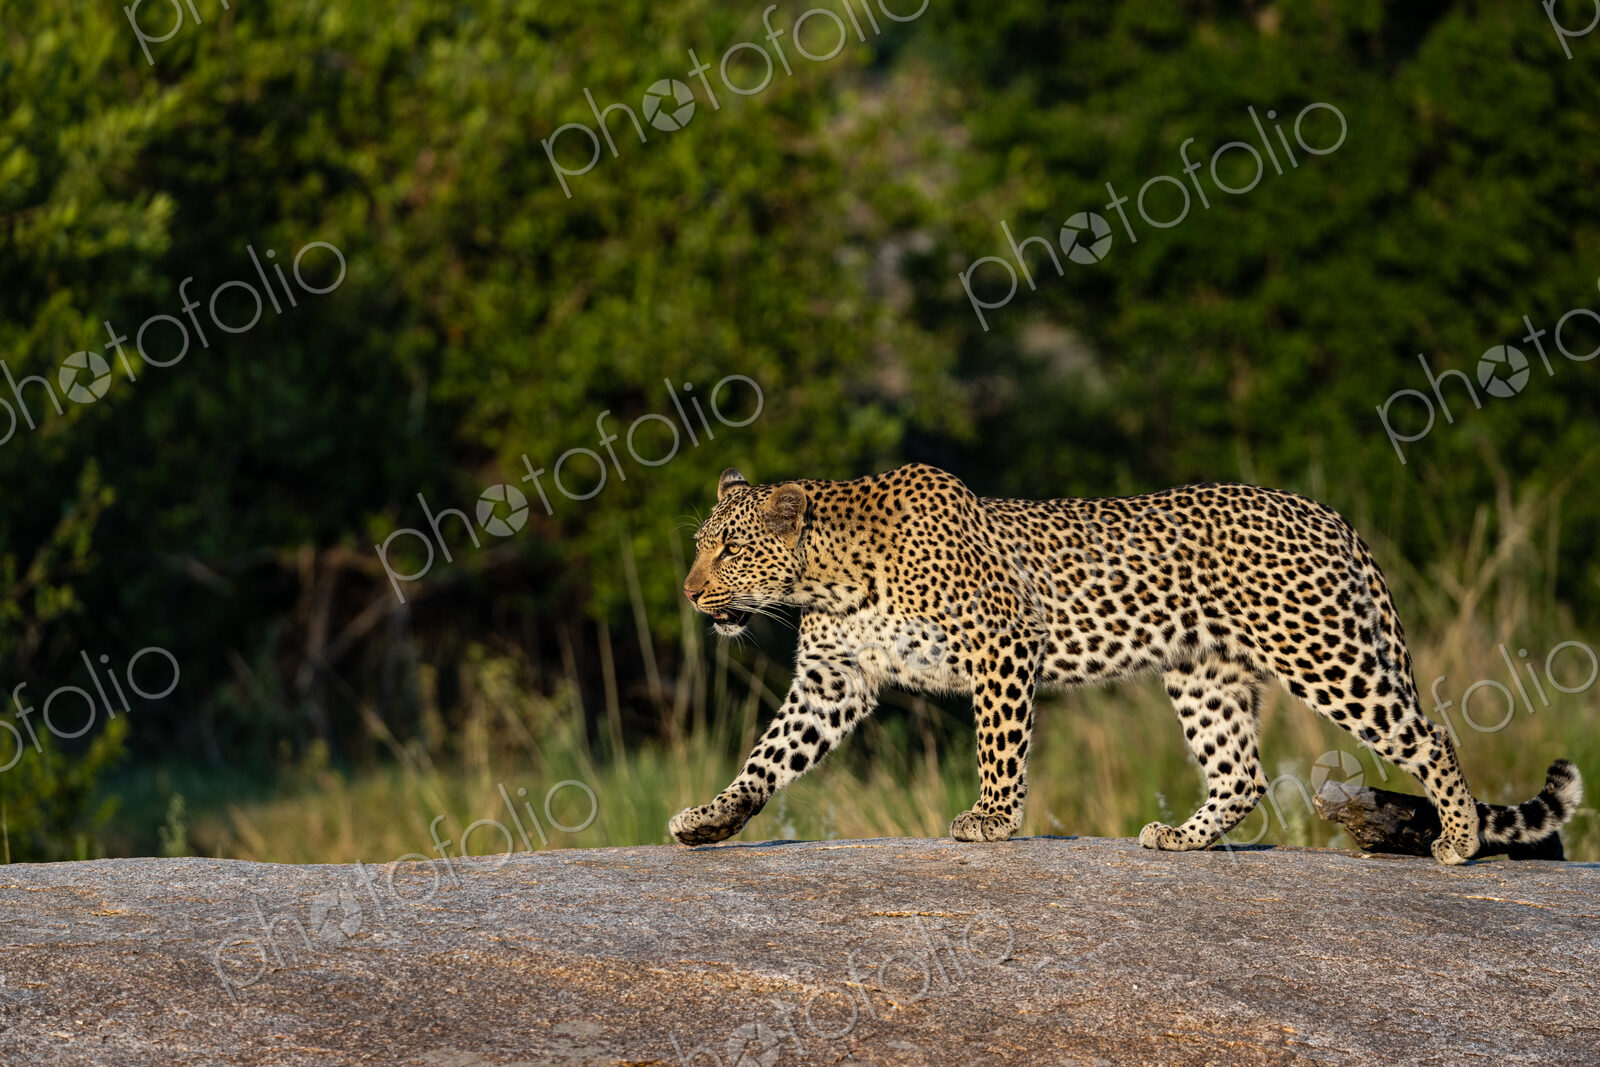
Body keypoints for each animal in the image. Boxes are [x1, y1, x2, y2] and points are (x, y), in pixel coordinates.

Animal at [668, 463, 1584, 864]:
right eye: (699, 544)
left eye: (728, 549)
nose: (688, 589)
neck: (826, 574)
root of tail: (1325, 511)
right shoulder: (835, 680)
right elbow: (768, 757)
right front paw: (711, 818)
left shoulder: (1003, 643)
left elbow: (999, 746)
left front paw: (992, 819)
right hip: (1204, 673)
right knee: (1242, 772)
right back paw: (1181, 837)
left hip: (1324, 652)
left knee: (1431, 734)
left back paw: (1459, 838)